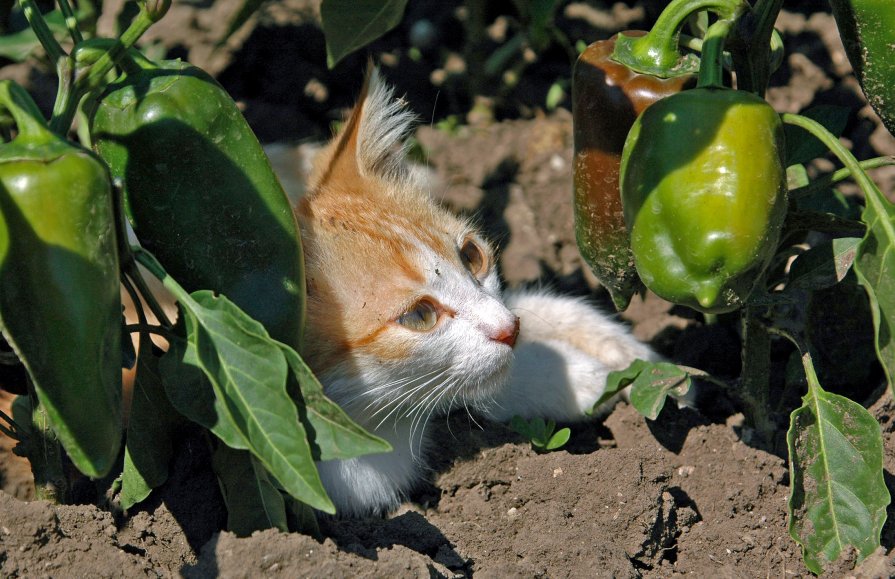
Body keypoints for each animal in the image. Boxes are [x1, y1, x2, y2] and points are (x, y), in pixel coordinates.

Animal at [294, 70, 656, 520]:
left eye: (472, 255)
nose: (509, 330)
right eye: (419, 317)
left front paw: (617, 350)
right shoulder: (339, 470)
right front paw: (583, 375)